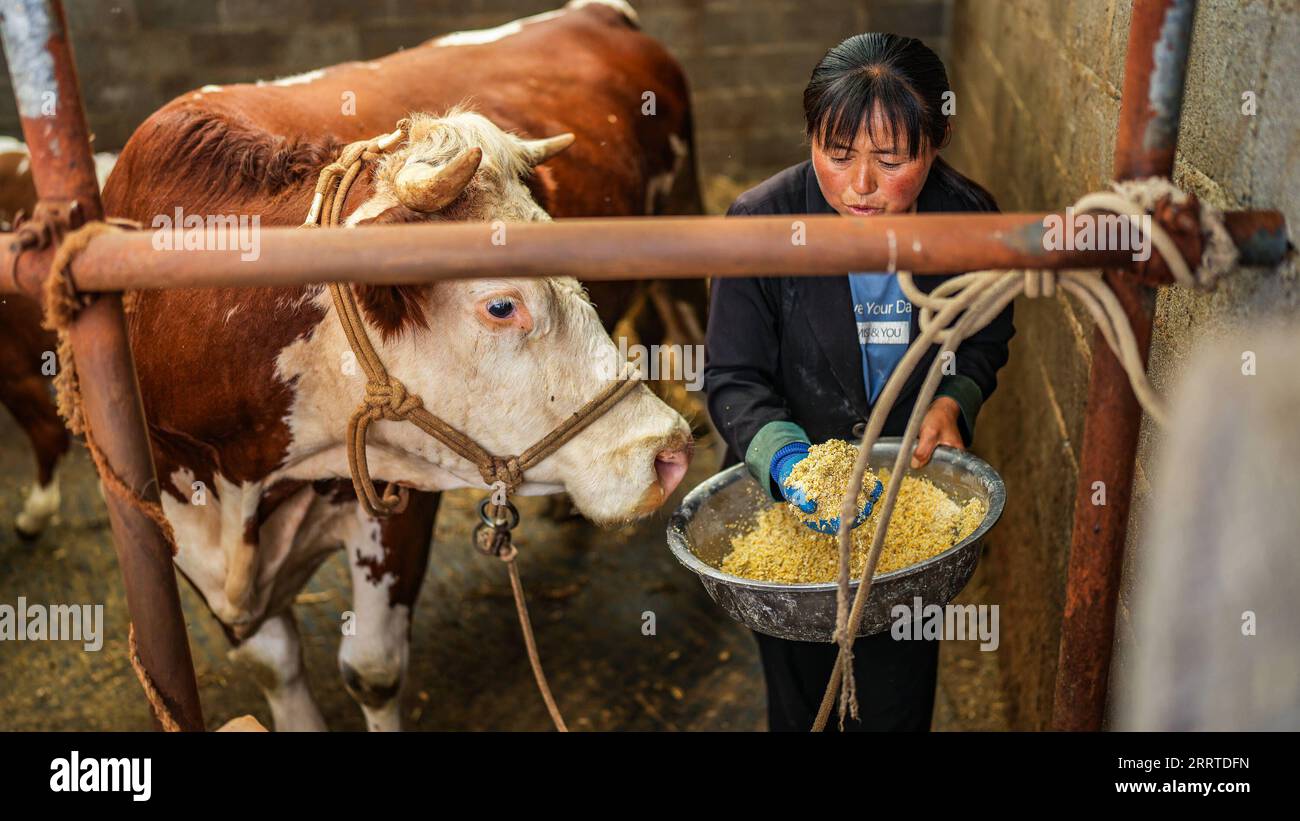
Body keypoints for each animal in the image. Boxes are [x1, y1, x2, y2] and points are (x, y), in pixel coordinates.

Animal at [101, 0, 702, 732]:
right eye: (501, 304)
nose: (667, 451)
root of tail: (597, 13)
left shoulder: (394, 499)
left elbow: (373, 669)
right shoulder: (174, 522)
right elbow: (275, 664)